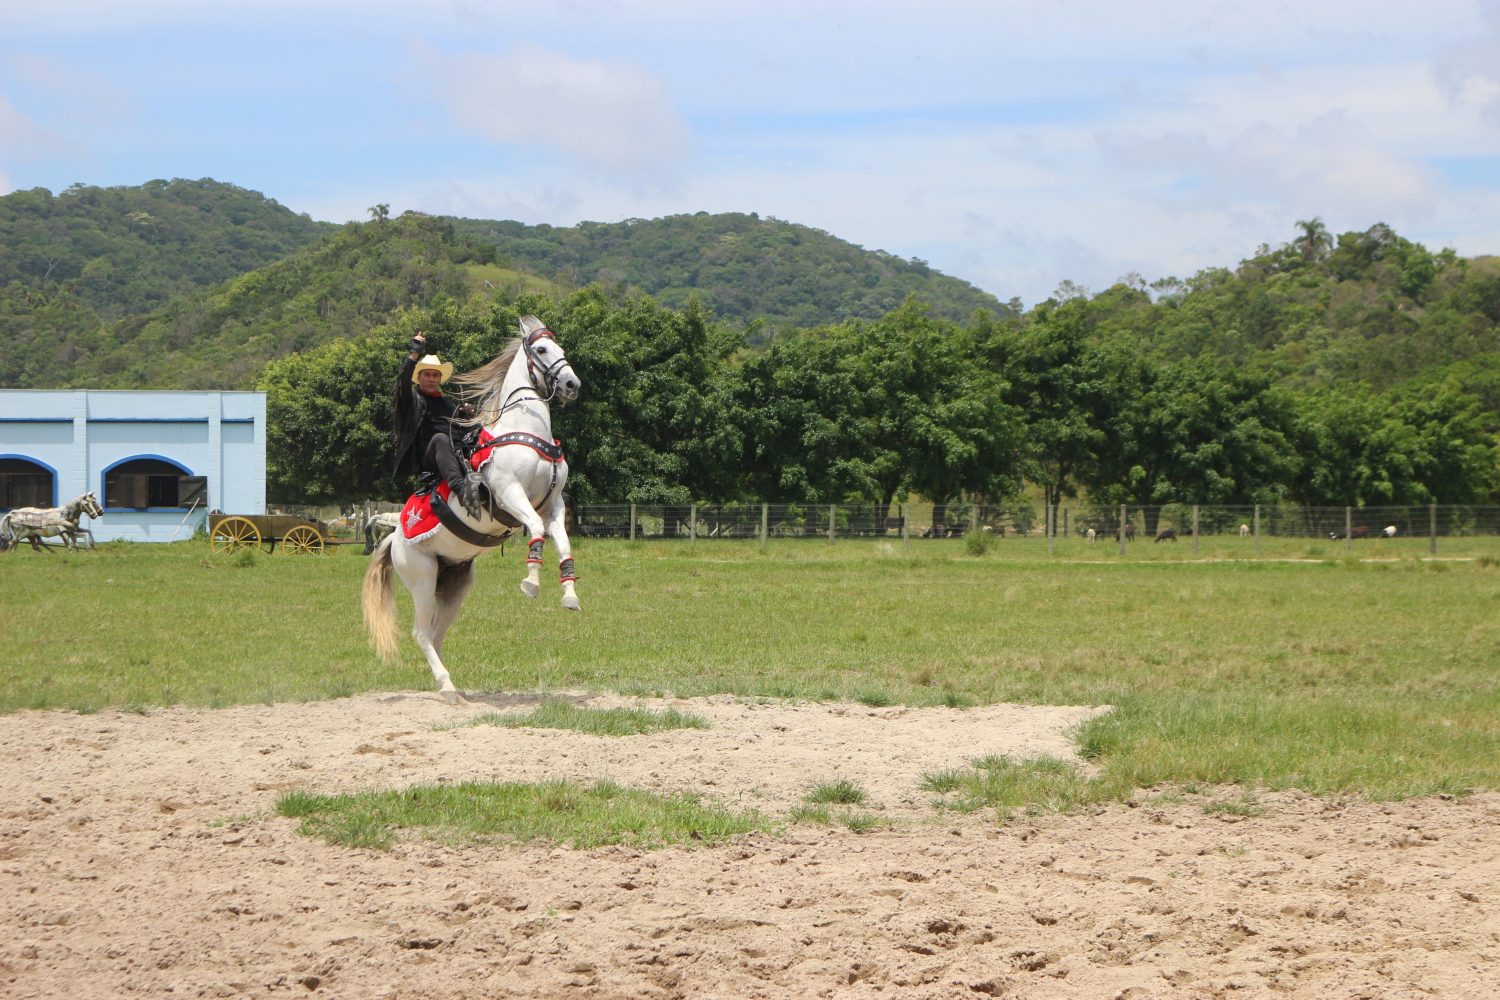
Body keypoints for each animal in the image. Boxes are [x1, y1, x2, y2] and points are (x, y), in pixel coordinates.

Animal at [362, 316, 582, 703]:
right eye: (541, 349)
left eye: (561, 348)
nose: (572, 384)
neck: (523, 432)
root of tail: (395, 540)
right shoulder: (511, 495)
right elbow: (536, 532)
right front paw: (530, 583)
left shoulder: (553, 504)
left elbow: (564, 544)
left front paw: (570, 596)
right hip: (422, 579)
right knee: (421, 633)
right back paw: (447, 686)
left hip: (456, 584)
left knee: (436, 633)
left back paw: (450, 686)